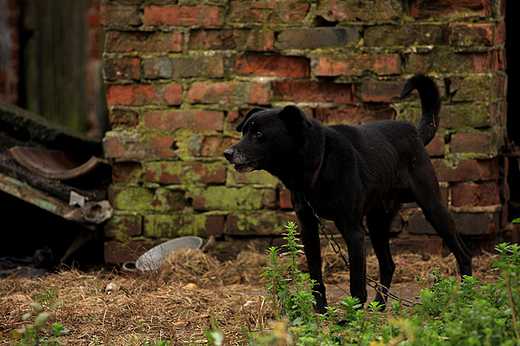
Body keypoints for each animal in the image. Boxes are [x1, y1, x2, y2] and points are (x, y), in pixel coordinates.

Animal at [222, 75, 472, 314]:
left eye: (259, 133)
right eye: (244, 132)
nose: (227, 153)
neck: (319, 164)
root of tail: (415, 132)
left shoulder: (353, 229)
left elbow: (356, 281)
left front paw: (353, 316)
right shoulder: (309, 228)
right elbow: (316, 276)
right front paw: (321, 311)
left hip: (433, 208)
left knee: (464, 254)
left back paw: (467, 298)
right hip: (377, 221)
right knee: (389, 265)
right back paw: (379, 306)